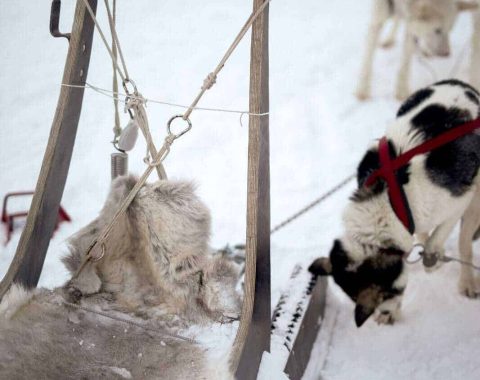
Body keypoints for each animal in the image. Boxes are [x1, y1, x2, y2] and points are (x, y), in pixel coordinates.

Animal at [310, 79, 480, 326]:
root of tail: (461, 84)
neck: (388, 201)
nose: (382, 313)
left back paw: (467, 281)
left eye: (384, 295)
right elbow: (420, 237)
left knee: (465, 241)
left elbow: (439, 239)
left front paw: (432, 258)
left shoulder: (458, 202)